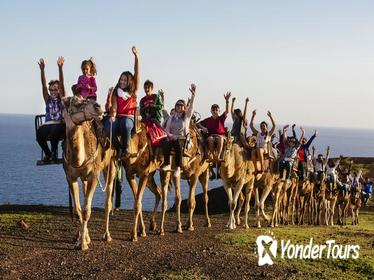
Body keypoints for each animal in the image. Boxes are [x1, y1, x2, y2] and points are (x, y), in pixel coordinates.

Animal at [62, 97, 116, 250]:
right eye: (76, 103)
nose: (98, 107)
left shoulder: (93, 175)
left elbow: (87, 210)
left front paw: (83, 245)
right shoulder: (70, 177)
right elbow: (78, 209)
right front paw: (83, 239)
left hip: (111, 164)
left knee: (108, 201)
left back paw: (107, 235)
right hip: (84, 177)